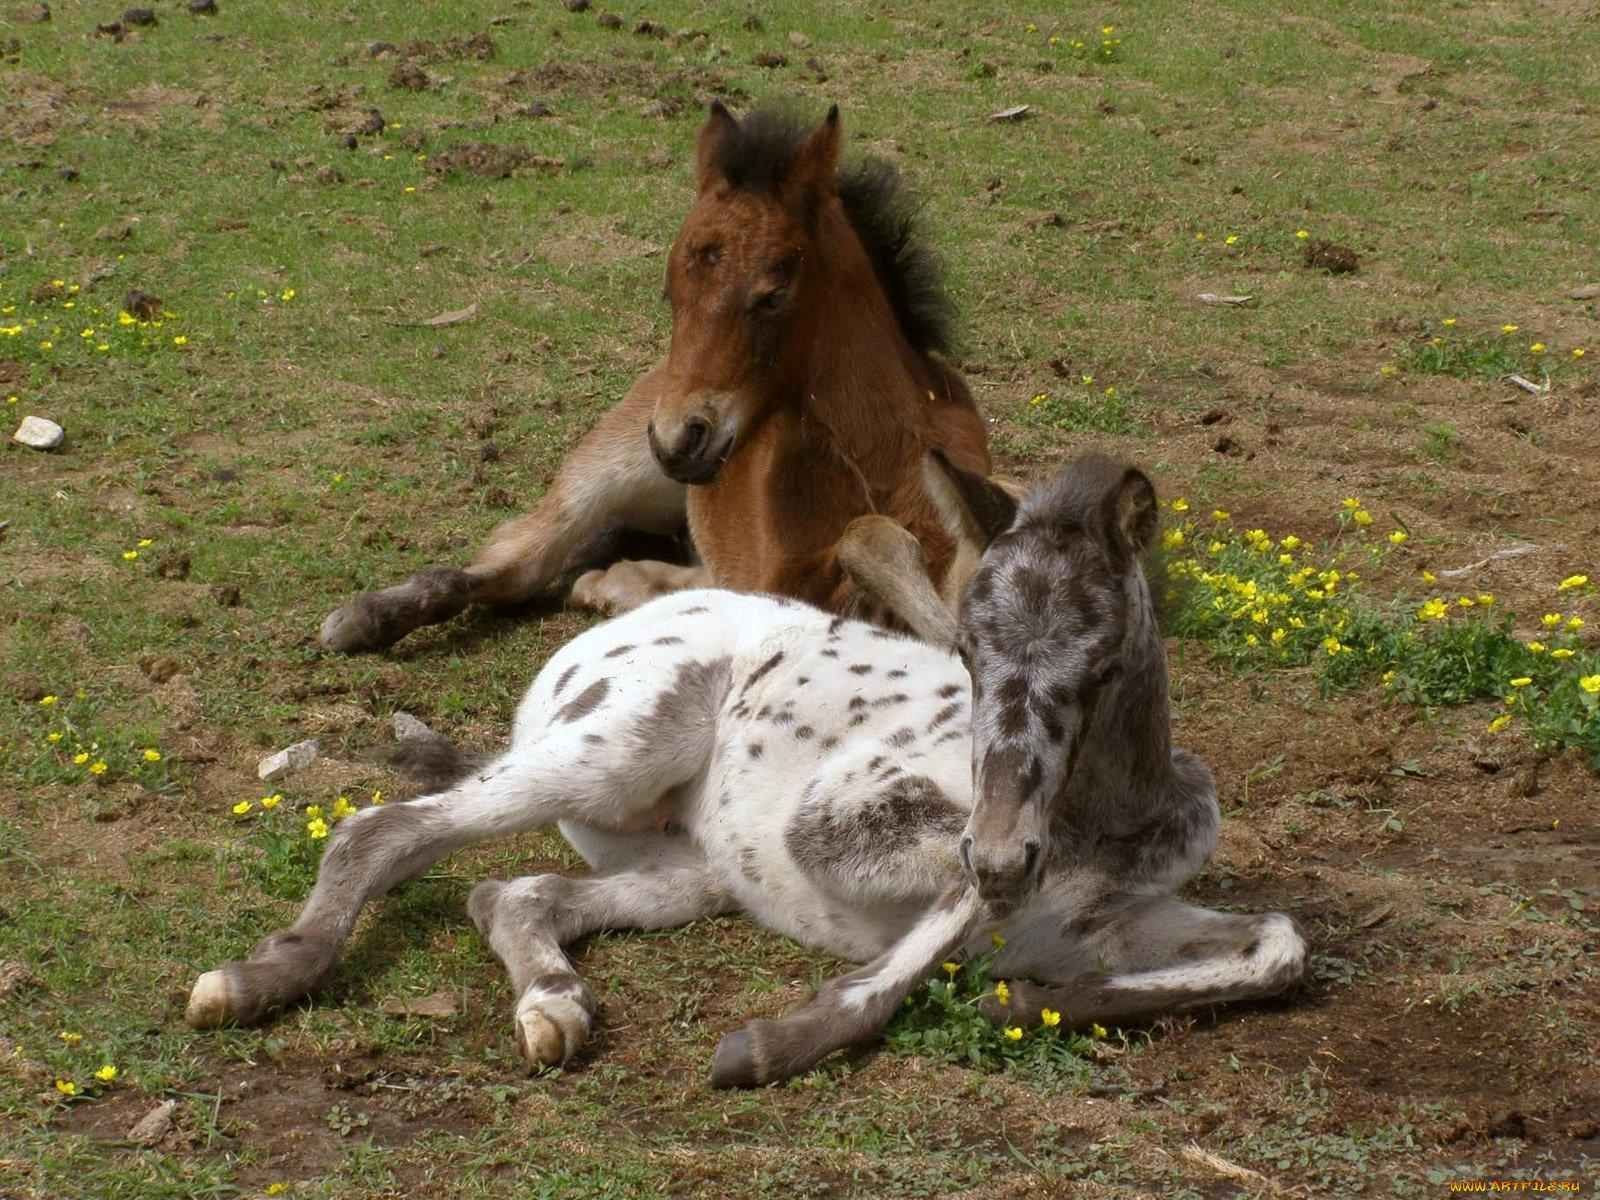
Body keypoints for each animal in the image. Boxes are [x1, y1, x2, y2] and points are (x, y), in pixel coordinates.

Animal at [193, 457, 1305, 1088]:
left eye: (1105, 661)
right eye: (967, 651)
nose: (1004, 852)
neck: (1104, 827)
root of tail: (593, 639)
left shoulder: (1103, 923)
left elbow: (1278, 948)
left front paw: (1018, 1004)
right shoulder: (838, 828)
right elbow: (936, 916)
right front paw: (778, 1043)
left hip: (694, 871)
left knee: (511, 892)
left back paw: (553, 1007)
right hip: (614, 754)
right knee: (382, 830)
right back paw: (254, 981)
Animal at [320, 103, 992, 652]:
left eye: (773, 295)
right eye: (671, 291)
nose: (678, 441)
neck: (875, 457)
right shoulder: (781, 578)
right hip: (603, 471)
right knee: (516, 566)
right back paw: (365, 618)